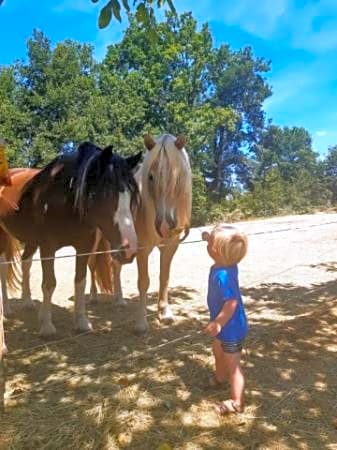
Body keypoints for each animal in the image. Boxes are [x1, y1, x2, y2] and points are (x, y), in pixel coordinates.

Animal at [0, 142, 140, 336]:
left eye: (131, 195)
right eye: (105, 192)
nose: (129, 249)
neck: (63, 199)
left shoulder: (84, 247)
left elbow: (80, 280)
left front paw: (82, 322)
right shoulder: (48, 247)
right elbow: (49, 283)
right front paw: (47, 327)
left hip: (31, 241)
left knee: (25, 262)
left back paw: (27, 302)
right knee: (4, 269)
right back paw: (6, 310)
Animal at [89, 134, 192, 334]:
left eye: (177, 177)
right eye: (150, 176)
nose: (165, 226)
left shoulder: (170, 246)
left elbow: (164, 277)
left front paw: (165, 313)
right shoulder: (142, 249)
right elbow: (144, 281)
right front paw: (141, 324)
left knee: (115, 267)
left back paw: (119, 300)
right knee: (90, 264)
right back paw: (93, 297)